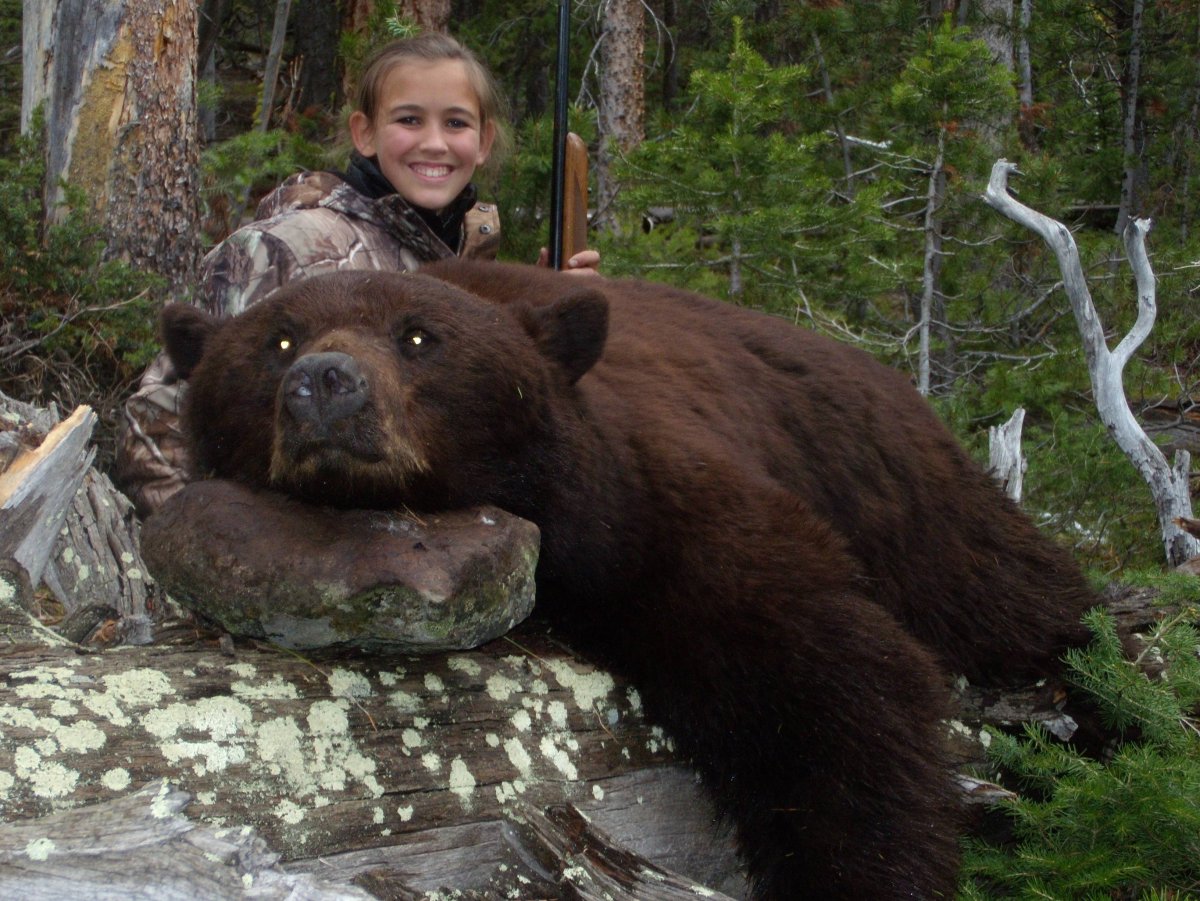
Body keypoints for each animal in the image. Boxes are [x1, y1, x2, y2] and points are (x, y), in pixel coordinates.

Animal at [159, 261, 1100, 899]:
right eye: (276, 340)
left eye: (419, 335)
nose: (324, 383)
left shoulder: (649, 499)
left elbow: (829, 671)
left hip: (902, 494)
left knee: (1008, 593)